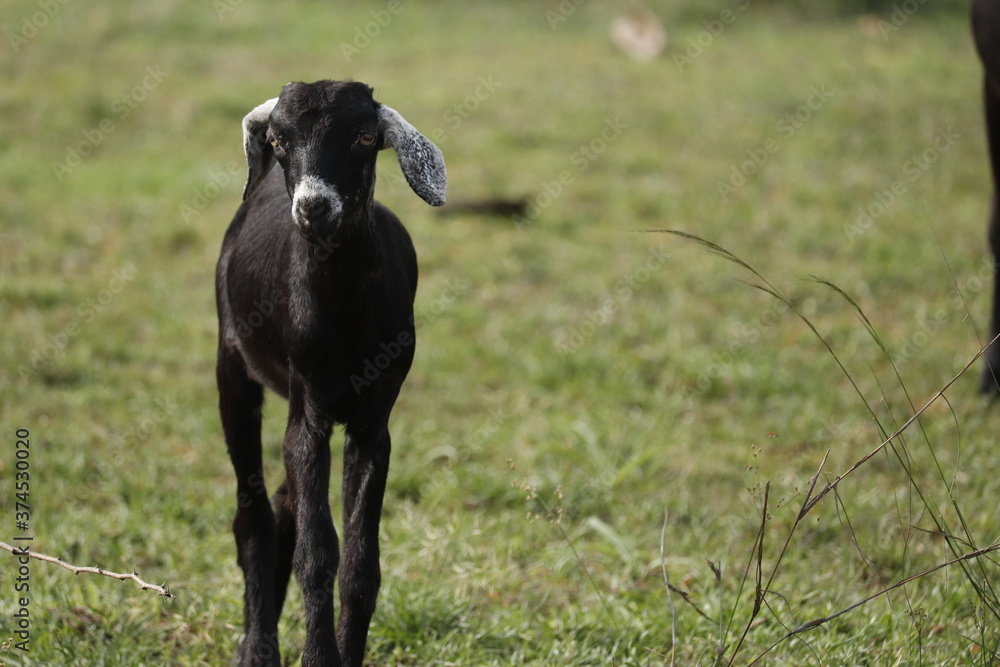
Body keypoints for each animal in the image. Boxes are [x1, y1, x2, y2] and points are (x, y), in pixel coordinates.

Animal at [215, 80, 446, 666]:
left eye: (364, 136)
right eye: (277, 139)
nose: (313, 206)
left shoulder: (372, 423)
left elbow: (361, 563)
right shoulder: (310, 412)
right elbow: (318, 553)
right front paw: (318, 657)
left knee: (282, 505)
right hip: (233, 370)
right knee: (253, 517)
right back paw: (258, 648)